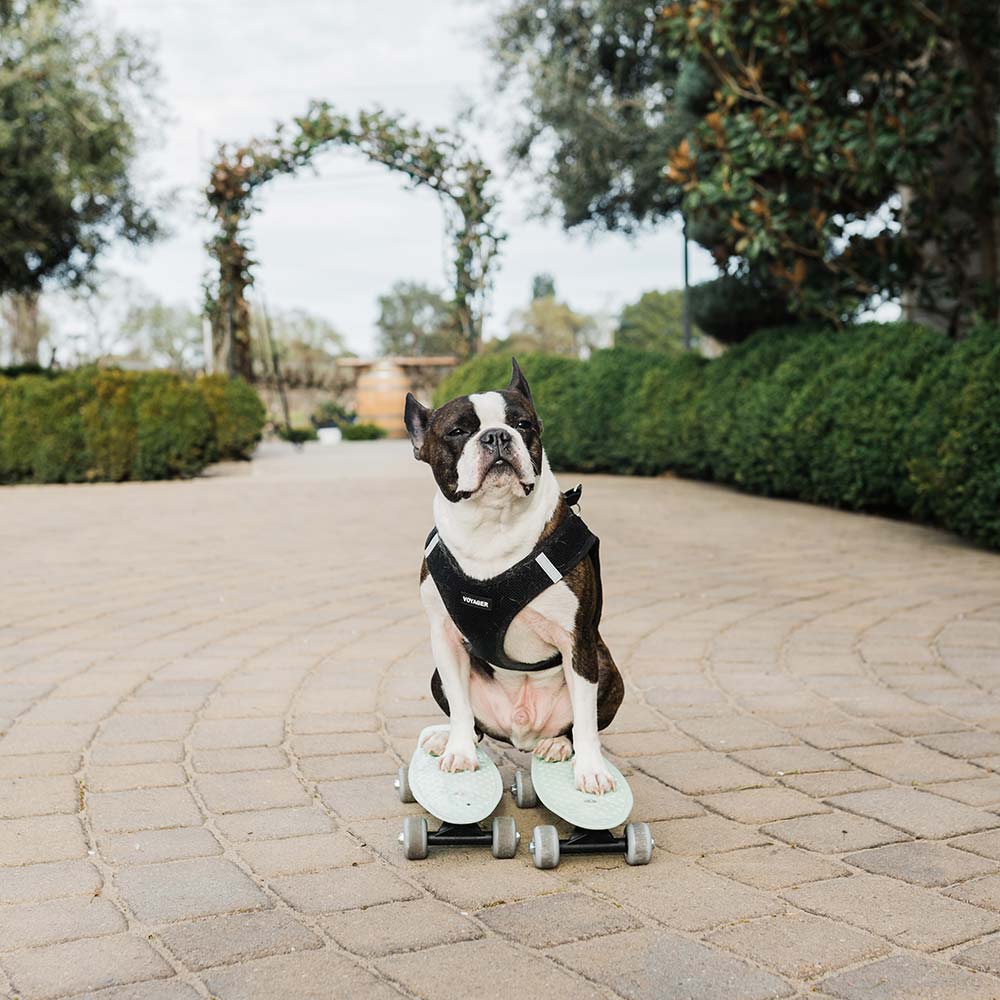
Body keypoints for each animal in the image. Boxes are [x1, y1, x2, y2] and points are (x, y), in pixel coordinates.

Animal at [402, 356, 620, 792]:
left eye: (523, 424)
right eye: (458, 431)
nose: (497, 436)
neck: (494, 523)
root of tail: (522, 731)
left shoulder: (577, 640)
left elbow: (586, 720)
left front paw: (591, 769)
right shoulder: (444, 638)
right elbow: (460, 705)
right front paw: (460, 751)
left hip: (606, 666)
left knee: (577, 722)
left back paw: (558, 745)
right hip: (436, 675)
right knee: (471, 720)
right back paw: (449, 738)